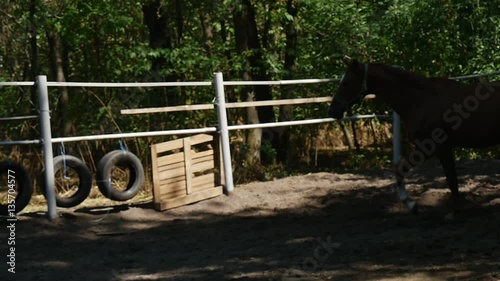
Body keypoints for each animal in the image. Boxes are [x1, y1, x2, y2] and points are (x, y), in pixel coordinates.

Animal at [328, 57, 500, 212]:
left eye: (346, 82)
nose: (333, 111)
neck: (422, 100)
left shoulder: (439, 147)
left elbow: (452, 180)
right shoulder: (427, 148)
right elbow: (400, 170)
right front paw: (411, 204)